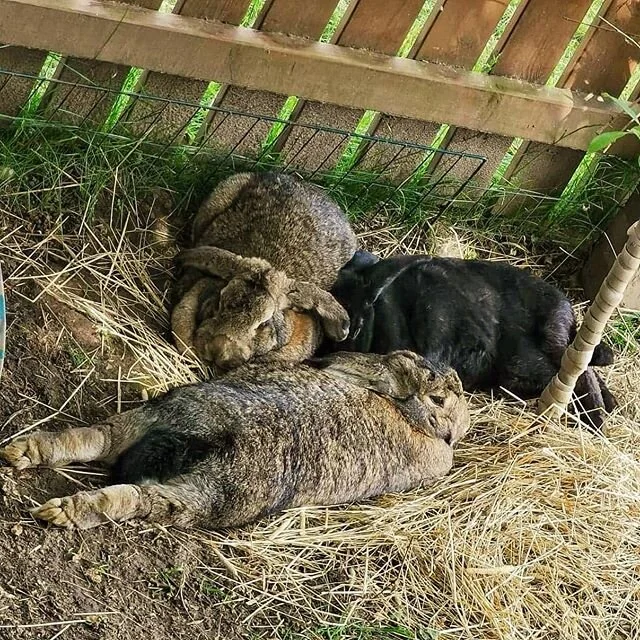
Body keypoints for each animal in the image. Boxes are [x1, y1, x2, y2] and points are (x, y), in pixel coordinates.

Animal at [0, 350, 470, 528]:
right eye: (443, 396)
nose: (455, 380)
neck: (407, 412)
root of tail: (208, 436)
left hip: (157, 416)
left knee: (98, 437)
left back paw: (23, 453)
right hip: (203, 494)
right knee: (136, 497)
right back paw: (63, 511)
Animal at [322, 251, 616, 430]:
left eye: (356, 326)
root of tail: (567, 311)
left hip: (531, 360)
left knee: (580, 372)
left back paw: (597, 423)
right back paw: (609, 409)